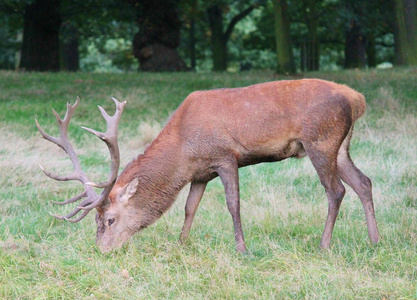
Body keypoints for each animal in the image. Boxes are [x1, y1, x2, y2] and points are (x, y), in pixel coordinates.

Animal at [37, 79, 378, 253]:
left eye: (109, 220)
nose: (101, 249)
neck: (184, 149)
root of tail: (358, 99)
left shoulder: (225, 157)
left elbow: (233, 204)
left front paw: (242, 249)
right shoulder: (201, 174)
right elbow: (190, 207)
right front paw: (181, 243)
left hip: (320, 140)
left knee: (336, 190)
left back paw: (323, 245)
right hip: (340, 146)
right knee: (364, 182)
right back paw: (375, 240)